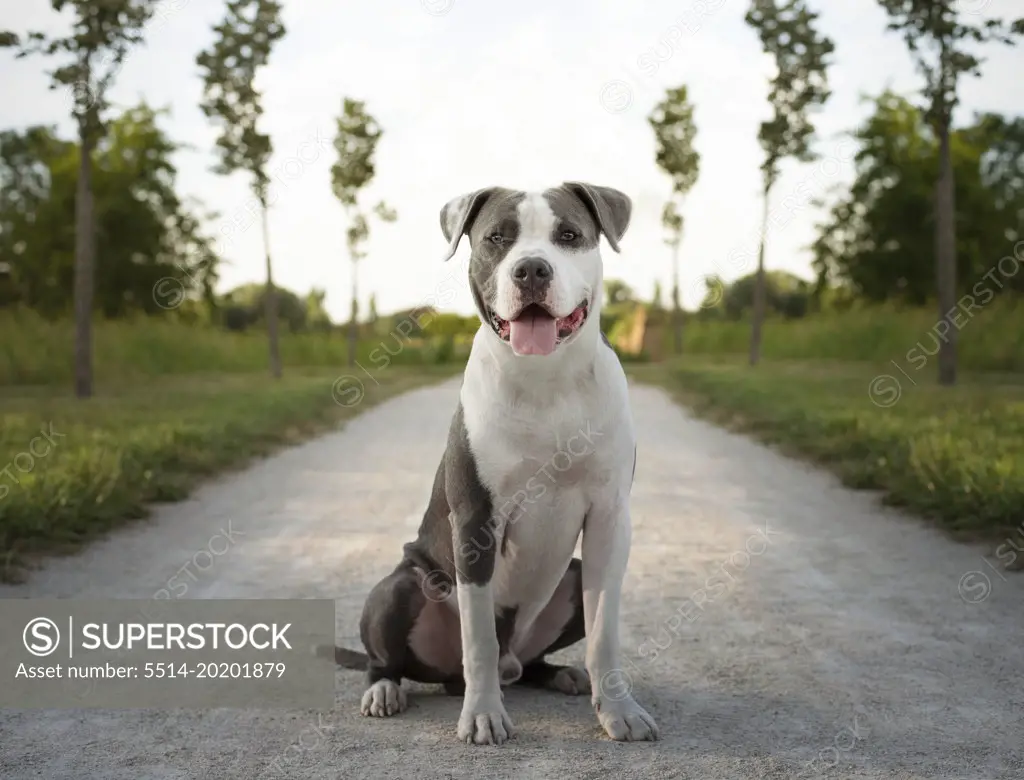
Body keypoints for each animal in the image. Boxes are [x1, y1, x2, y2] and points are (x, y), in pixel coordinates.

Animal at [327, 181, 655, 741]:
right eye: (497, 238)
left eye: (569, 235)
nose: (532, 269)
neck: (545, 378)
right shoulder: (476, 521)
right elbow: (478, 637)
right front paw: (482, 715)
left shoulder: (610, 518)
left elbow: (604, 632)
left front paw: (619, 710)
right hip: (400, 587)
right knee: (392, 658)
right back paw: (385, 689)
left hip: (569, 577)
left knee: (532, 659)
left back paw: (559, 674)